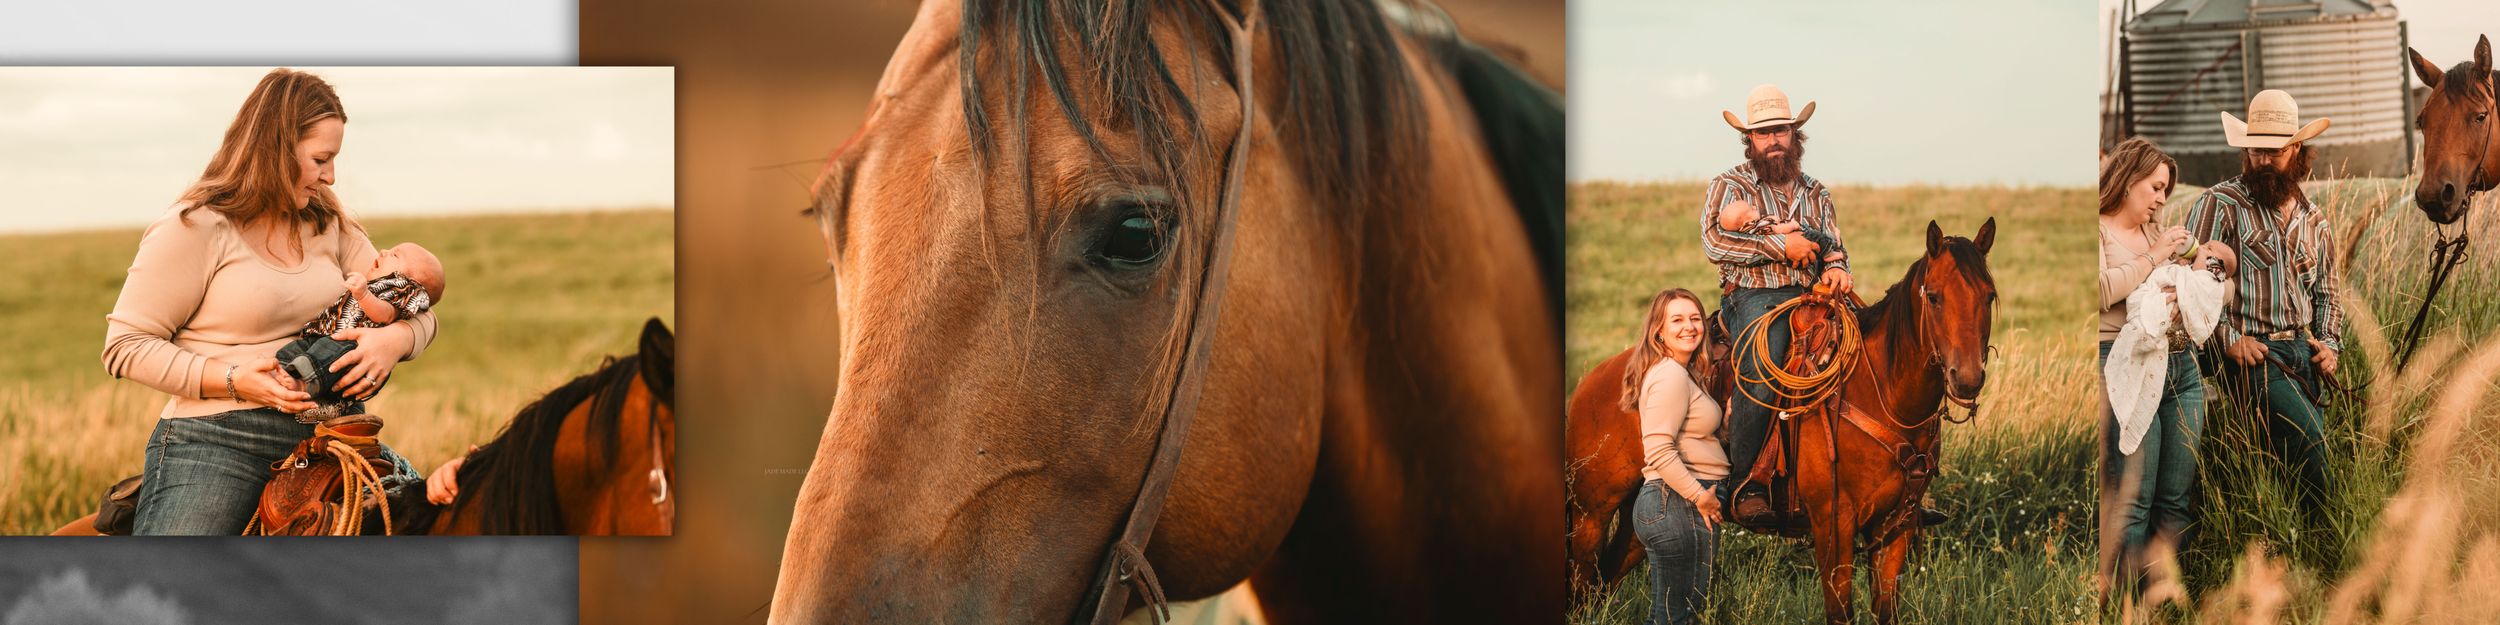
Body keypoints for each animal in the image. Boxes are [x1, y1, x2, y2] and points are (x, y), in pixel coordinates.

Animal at [1564, 220, 1997, 625]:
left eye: (1989, 295)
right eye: (1934, 297)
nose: (1967, 378)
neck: (1884, 397)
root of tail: (1592, 381)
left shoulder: (1894, 531)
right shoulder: (1833, 526)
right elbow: (1839, 612)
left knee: (1605, 579)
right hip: (1590, 515)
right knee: (1581, 586)